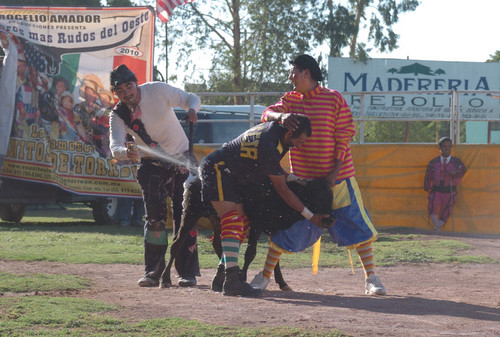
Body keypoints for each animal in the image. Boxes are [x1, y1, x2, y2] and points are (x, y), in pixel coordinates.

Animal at [159, 176, 332, 288]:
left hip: (217, 219)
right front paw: (243, 278)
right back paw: (164, 279)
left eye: (330, 195)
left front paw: (282, 283)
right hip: (190, 214)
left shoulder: (274, 229)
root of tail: (194, 179)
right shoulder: (256, 225)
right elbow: (251, 253)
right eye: (315, 194)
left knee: (217, 243)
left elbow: (275, 257)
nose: (329, 220)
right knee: (176, 243)